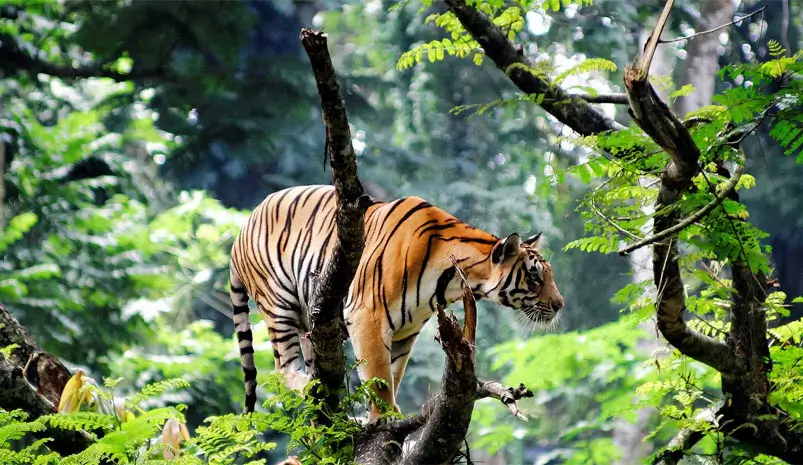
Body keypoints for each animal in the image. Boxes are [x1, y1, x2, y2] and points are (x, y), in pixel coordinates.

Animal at [229, 184, 564, 419]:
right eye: (535, 277)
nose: (560, 305)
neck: (453, 281)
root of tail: (240, 230)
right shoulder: (368, 315)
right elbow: (379, 376)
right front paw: (384, 417)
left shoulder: (406, 330)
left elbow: (393, 373)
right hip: (279, 304)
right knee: (282, 369)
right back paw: (314, 391)